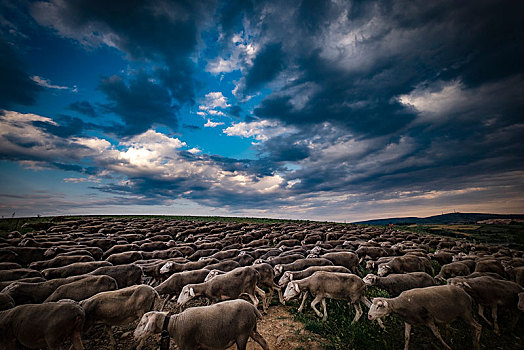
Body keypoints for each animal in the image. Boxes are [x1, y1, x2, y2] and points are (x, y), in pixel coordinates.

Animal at [133, 298, 268, 350]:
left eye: (142, 323)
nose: (134, 335)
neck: (174, 325)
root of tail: (252, 307)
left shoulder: (187, 345)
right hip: (251, 329)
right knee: (263, 342)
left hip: (242, 334)